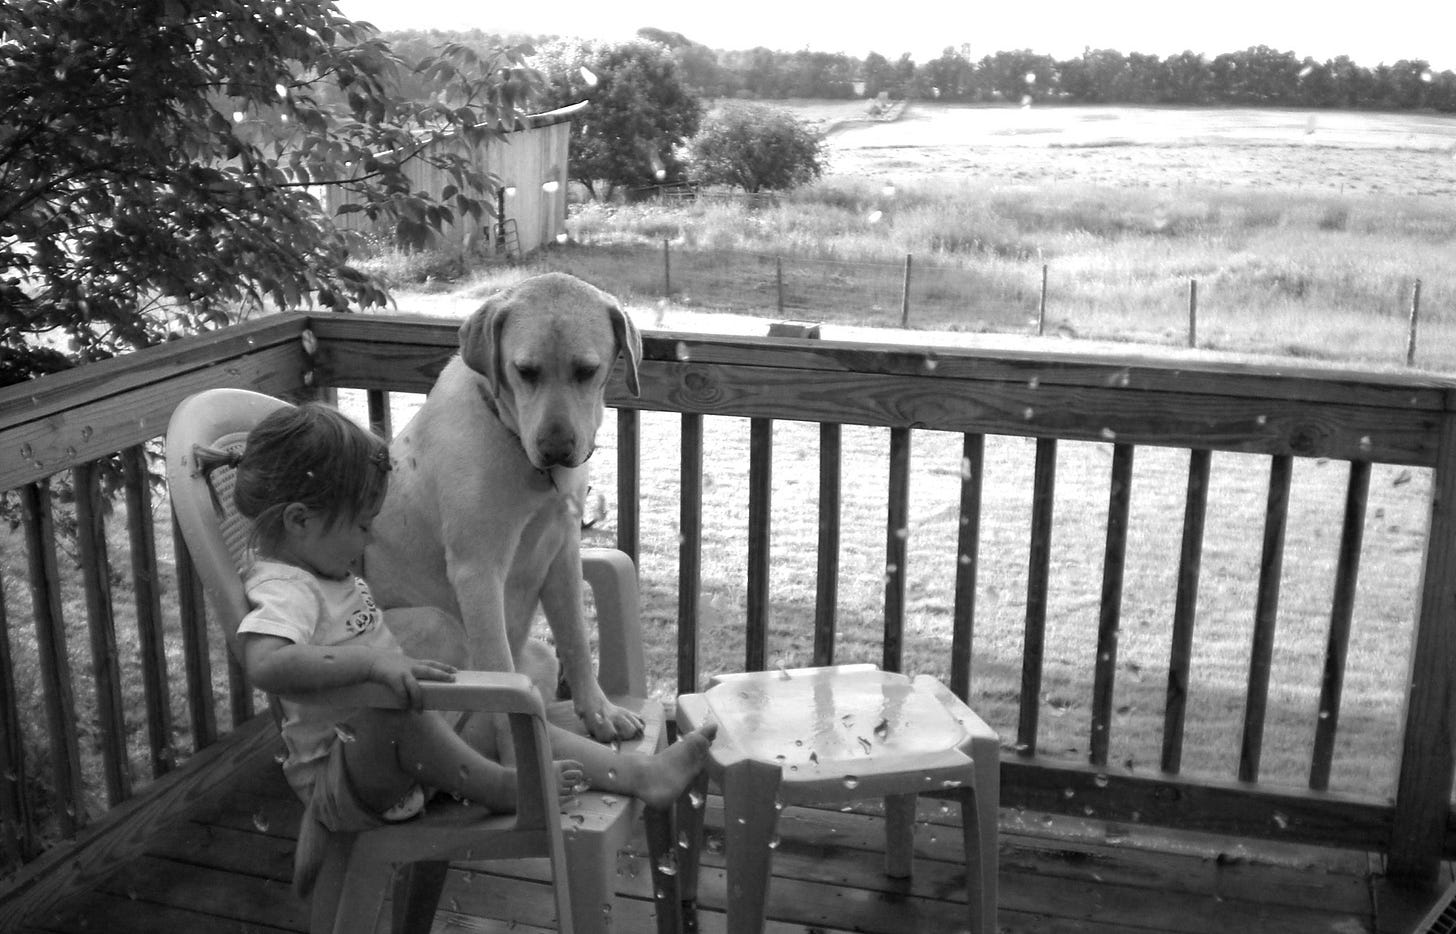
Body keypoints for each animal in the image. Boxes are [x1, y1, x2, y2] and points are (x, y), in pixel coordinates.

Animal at [364, 271, 643, 743]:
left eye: (587, 371)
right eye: (525, 372)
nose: (555, 448)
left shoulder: (563, 554)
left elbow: (576, 640)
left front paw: (599, 711)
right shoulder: (477, 569)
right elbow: (498, 668)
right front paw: (513, 739)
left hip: (539, 656)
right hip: (437, 626)